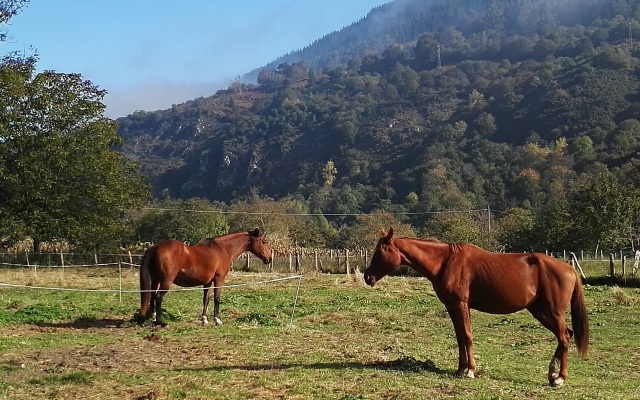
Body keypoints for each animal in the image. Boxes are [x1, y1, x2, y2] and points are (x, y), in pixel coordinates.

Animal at [138, 230, 272, 326]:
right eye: (263, 241)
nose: (269, 258)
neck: (223, 249)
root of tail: (154, 247)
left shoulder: (207, 282)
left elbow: (205, 299)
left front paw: (204, 319)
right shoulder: (219, 279)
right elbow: (217, 299)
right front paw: (217, 320)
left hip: (156, 281)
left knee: (152, 296)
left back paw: (154, 318)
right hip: (166, 281)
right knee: (158, 297)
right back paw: (161, 322)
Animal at [362, 228, 588, 388]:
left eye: (380, 252)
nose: (367, 276)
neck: (445, 262)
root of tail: (570, 269)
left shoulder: (461, 305)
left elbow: (468, 336)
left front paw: (470, 370)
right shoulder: (452, 307)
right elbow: (460, 337)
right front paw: (460, 369)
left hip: (553, 312)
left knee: (564, 337)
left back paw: (560, 378)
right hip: (540, 311)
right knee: (565, 335)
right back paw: (552, 373)